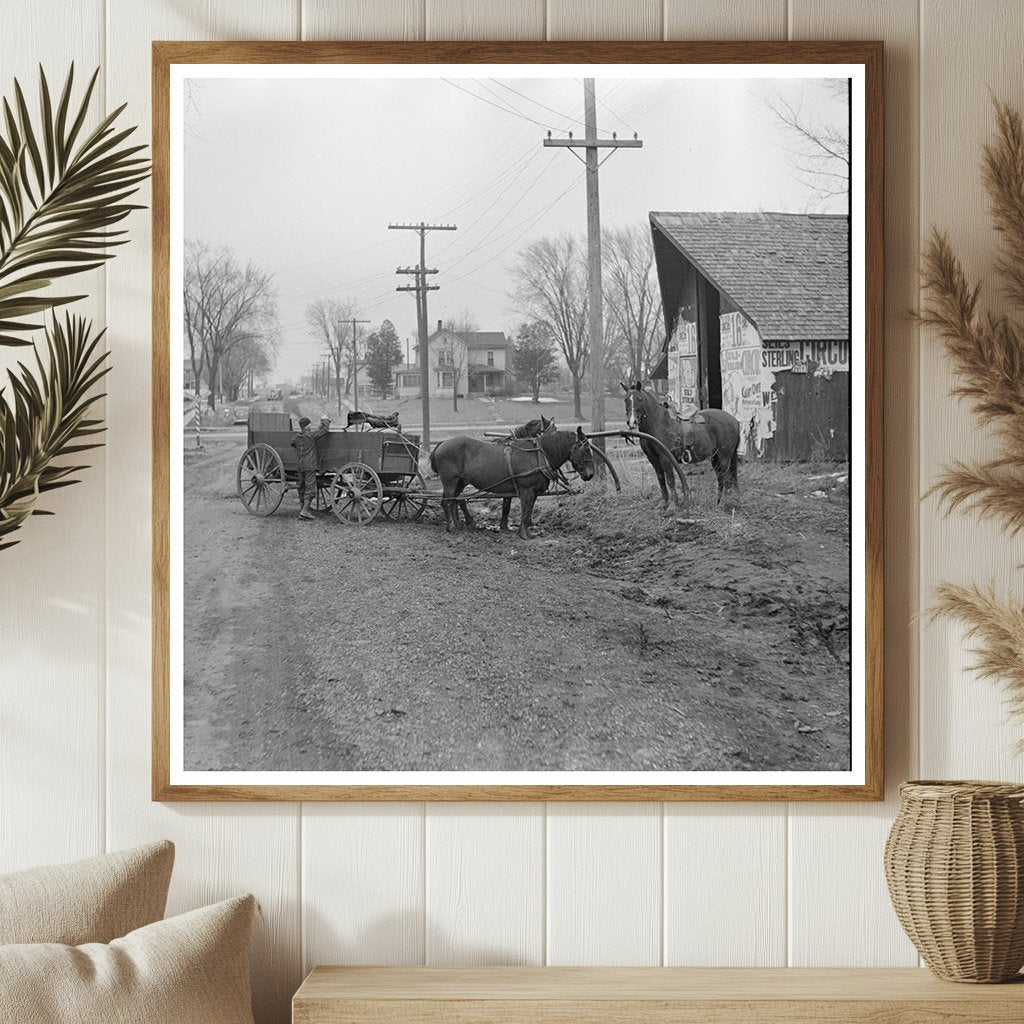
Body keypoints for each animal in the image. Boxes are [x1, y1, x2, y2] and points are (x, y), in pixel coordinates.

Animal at [428, 425, 598, 540]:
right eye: (585, 449)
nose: (590, 474)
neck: (539, 455)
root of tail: (441, 444)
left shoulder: (533, 492)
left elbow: (527, 512)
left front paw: (526, 532)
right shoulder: (526, 490)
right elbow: (525, 512)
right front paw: (523, 534)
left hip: (460, 482)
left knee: (454, 501)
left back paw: (456, 525)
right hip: (450, 482)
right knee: (447, 501)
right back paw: (451, 526)